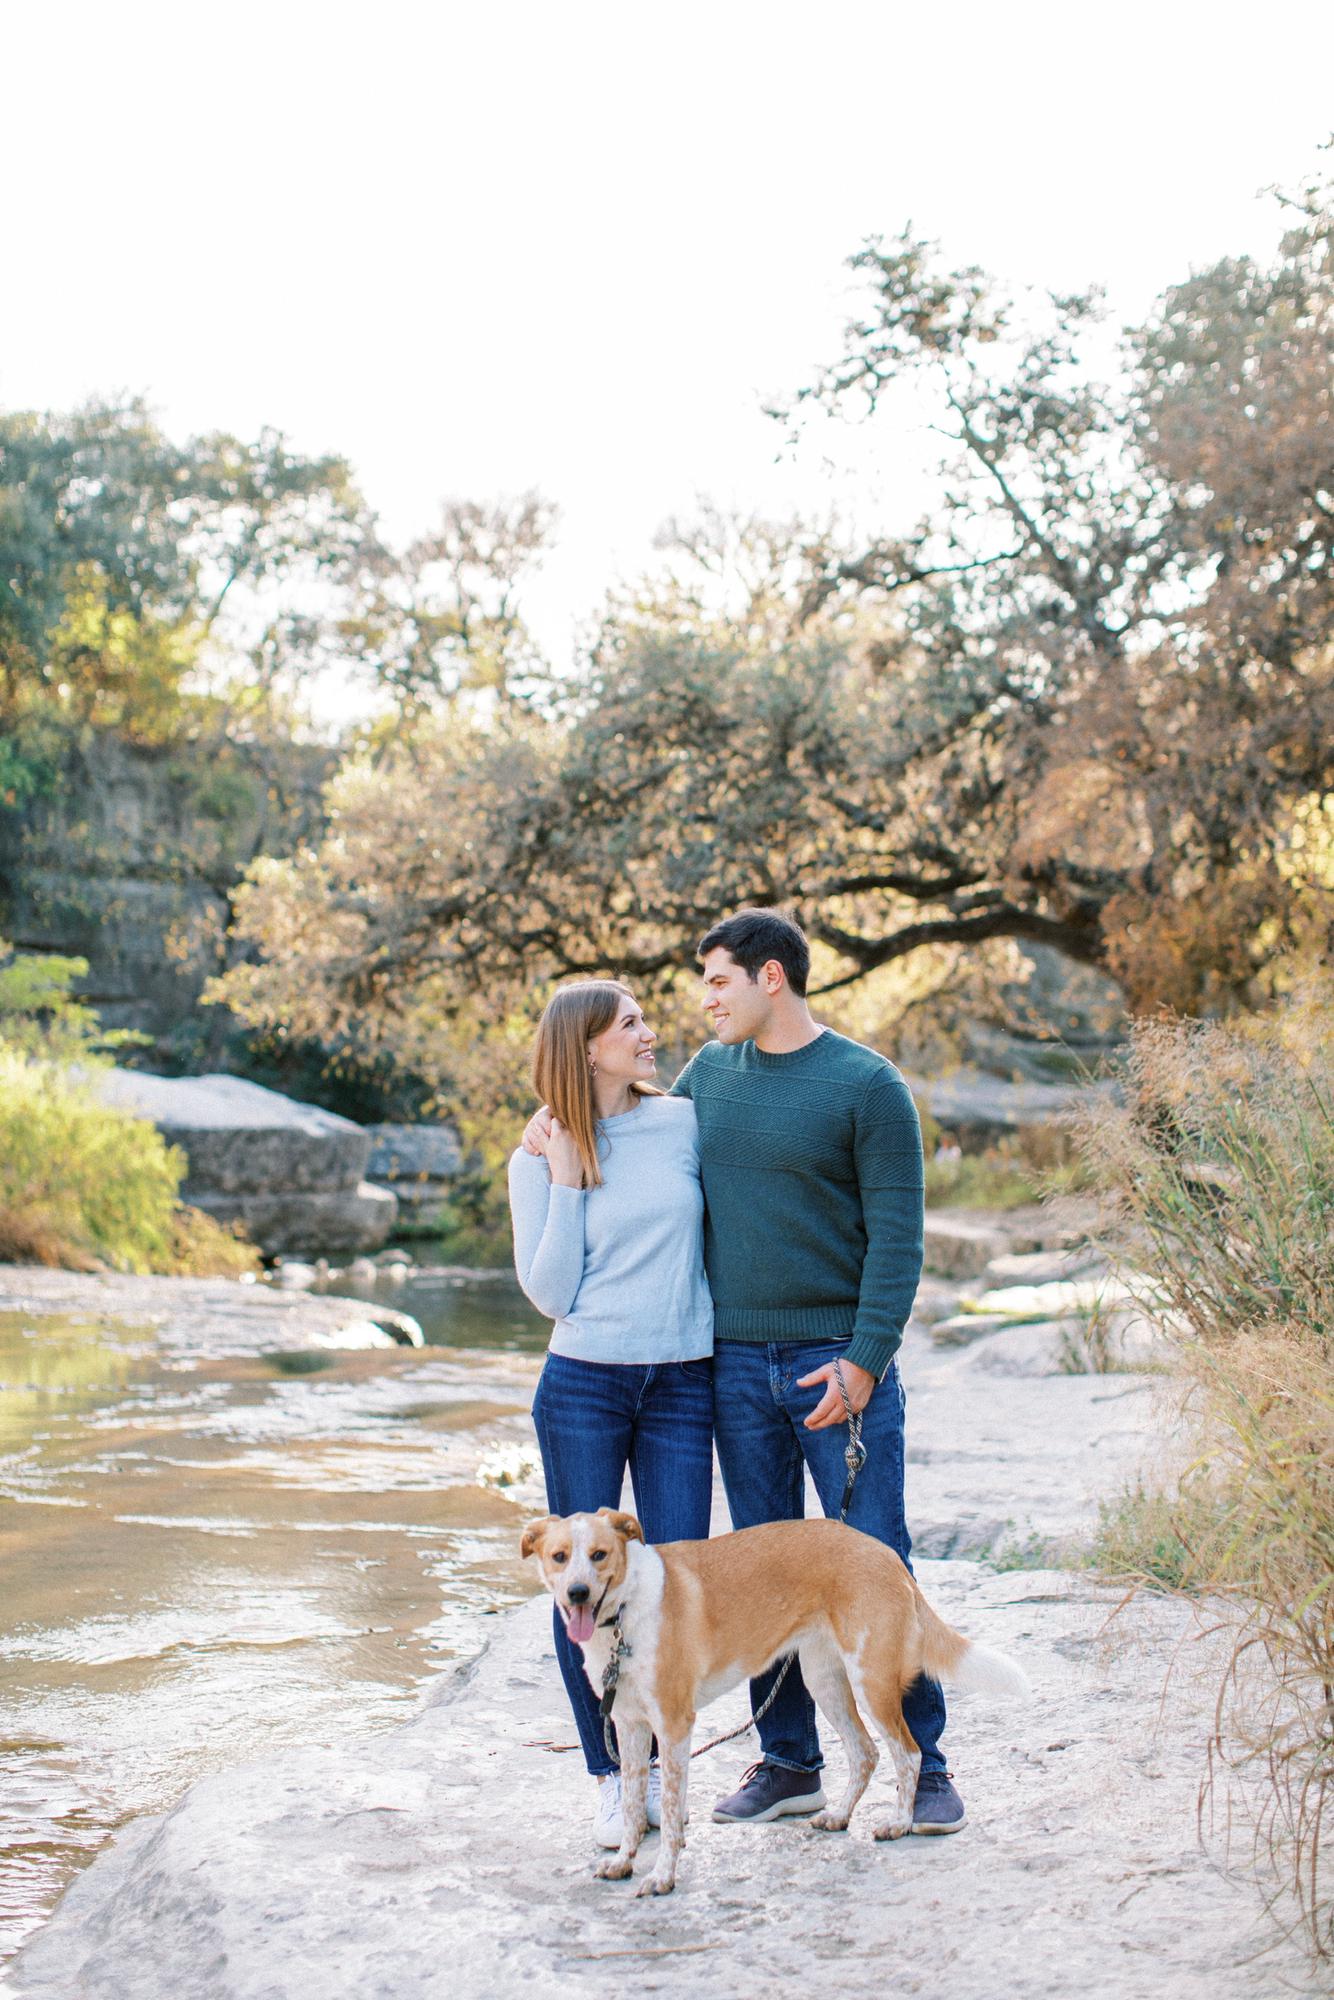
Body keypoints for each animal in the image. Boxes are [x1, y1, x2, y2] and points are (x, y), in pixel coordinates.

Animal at [524, 1504, 1032, 1896]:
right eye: (559, 1557)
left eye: (599, 1555)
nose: (577, 1593)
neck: (624, 1614)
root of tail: (883, 1552)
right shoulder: (629, 1725)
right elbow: (632, 1807)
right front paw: (625, 1862)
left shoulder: (673, 1724)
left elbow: (668, 1813)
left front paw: (663, 1876)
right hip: (823, 1680)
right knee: (865, 1753)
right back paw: (839, 1816)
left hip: (871, 1680)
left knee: (907, 1754)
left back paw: (900, 1823)